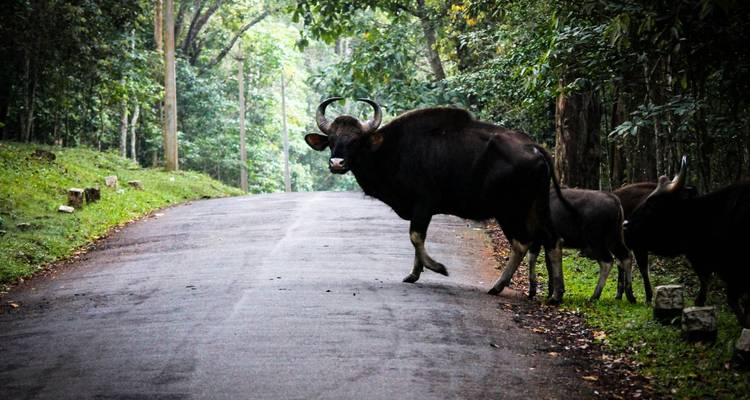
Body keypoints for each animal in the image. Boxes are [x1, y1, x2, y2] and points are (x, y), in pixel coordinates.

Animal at [305, 98, 571, 302]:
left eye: (355, 141)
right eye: (332, 140)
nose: (337, 163)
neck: (390, 150)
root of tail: (534, 147)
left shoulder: (424, 203)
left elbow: (415, 237)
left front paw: (437, 268)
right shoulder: (419, 208)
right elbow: (418, 239)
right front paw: (414, 273)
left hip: (509, 209)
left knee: (522, 243)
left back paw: (498, 285)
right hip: (536, 206)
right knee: (551, 239)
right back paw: (554, 293)